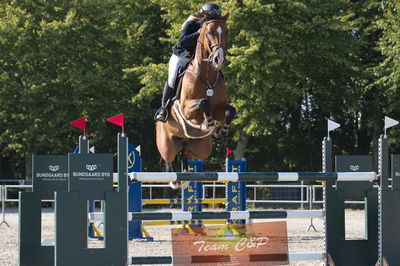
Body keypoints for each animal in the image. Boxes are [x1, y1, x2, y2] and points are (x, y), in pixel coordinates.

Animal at [155, 13, 238, 188]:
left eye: (226, 32)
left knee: (186, 155)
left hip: (202, 148)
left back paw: (185, 176)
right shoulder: (186, 108)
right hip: (167, 144)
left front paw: (221, 131)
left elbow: (230, 110)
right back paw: (175, 181)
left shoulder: (219, 109)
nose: (218, 59)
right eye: (209, 33)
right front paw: (209, 124)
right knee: (169, 159)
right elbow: (203, 103)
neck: (207, 77)